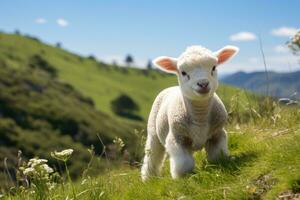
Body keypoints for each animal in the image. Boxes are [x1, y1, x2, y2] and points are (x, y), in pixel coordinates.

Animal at [141, 44, 239, 180]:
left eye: (214, 67)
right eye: (183, 72)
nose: (203, 83)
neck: (200, 116)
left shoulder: (217, 134)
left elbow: (217, 156)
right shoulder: (177, 138)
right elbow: (184, 164)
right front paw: (182, 177)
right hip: (153, 132)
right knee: (152, 155)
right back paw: (148, 178)